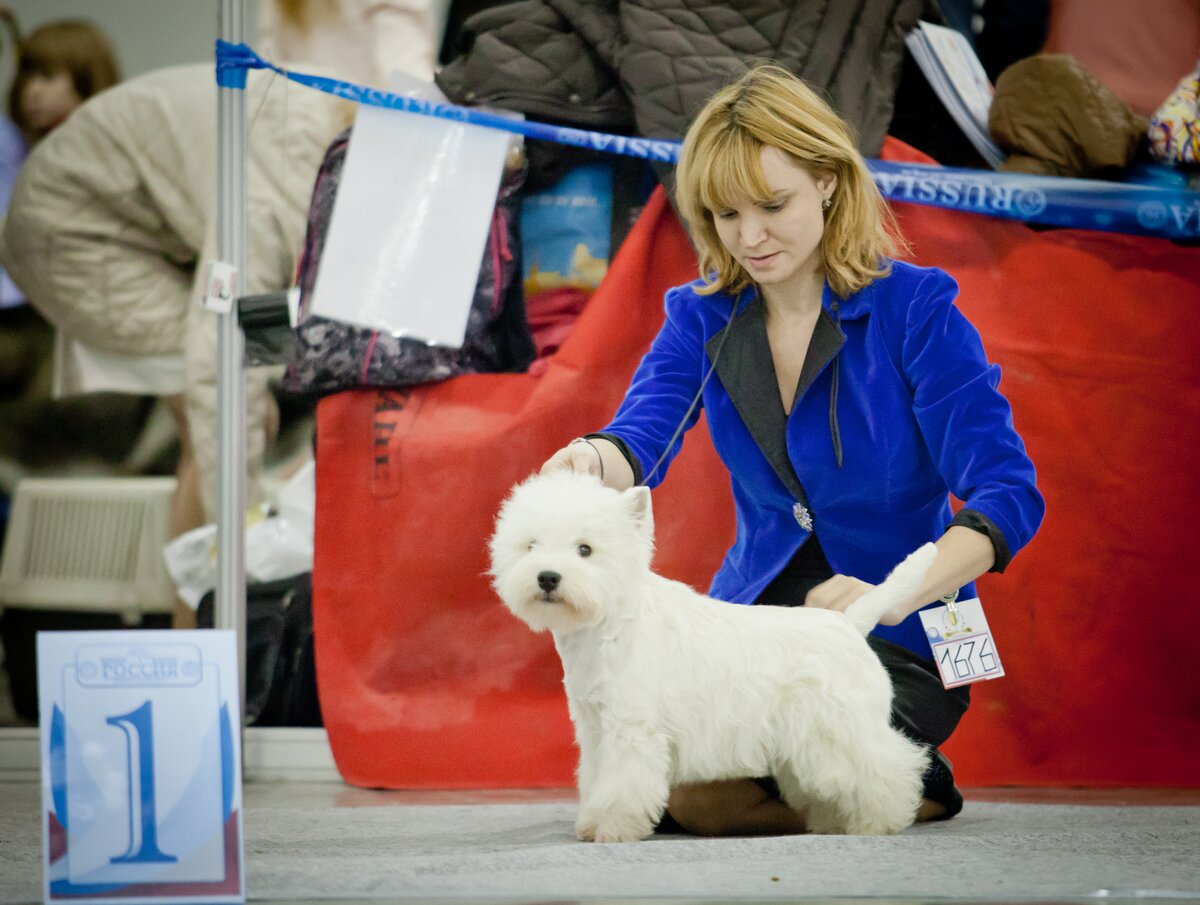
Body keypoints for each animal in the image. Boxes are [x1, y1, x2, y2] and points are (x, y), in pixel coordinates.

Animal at [487, 468, 936, 844]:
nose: (548, 577)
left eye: (585, 549)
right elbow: (596, 778)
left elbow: (622, 784)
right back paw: (832, 823)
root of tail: (849, 622)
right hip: (804, 744)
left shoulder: (631, 728)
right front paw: (591, 824)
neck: (607, 625)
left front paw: (613, 829)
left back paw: (880, 822)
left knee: (889, 767)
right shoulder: (595, 727)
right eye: (530, 545)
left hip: (841, 728)